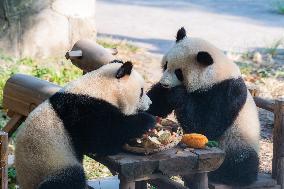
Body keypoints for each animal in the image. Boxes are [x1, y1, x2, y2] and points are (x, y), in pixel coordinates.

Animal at [15, 60, 155, 189]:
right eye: (141, 91)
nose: (150, 103)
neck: (100, 86)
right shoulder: (82, 111)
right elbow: (103, 137)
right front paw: (147, 120)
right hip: (50, 163)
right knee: (69, 179)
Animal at [148, 27, 260, 186]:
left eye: (179, 72)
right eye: (166, 65)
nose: (164, 83)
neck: (216, 73)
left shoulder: (227, 91)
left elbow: (207, 125)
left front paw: (178, 95)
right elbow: (157, 103)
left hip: (238, 140)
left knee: (243, 162)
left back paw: (224, 174)